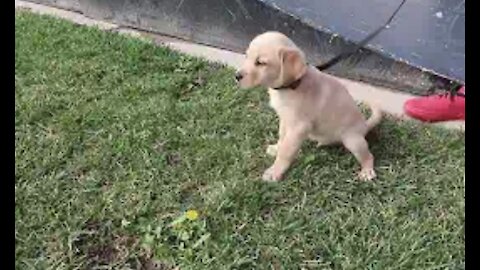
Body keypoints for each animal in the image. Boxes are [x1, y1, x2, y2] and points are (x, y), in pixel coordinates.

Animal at [236, 32, 382, 184]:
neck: (293, 85)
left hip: (353, 140)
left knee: (369, 156)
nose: (236, 76)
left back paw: (367, 171)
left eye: (261, 63)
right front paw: (276, 148)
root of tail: (364, 125)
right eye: (246, 55)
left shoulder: (298, 127)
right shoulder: (285, 120)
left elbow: (286, 152)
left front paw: (274, 172)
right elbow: (282, 137)